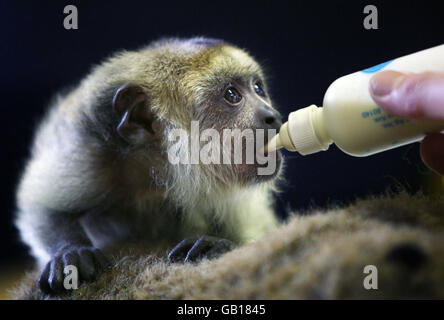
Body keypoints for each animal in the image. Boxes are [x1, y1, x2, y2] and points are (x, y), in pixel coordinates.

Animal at [16, 37, 284, 292]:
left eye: (258, 89)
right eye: (232, 95)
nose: (274, 116)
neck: (153, 170)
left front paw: (221, 245)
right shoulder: (87, 148)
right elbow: (41, 205)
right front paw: (68, 252)